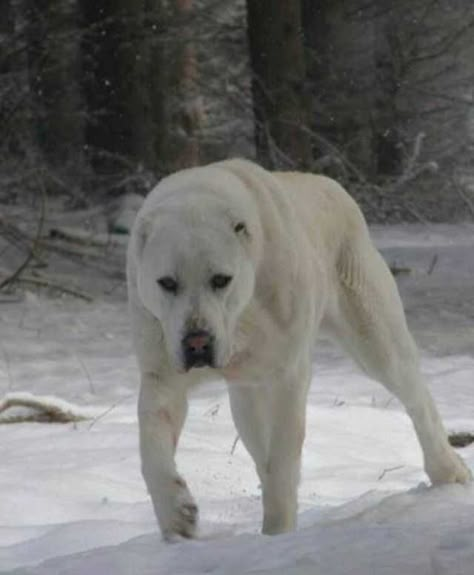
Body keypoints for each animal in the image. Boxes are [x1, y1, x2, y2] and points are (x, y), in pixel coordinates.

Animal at [126, 158, 470, 540]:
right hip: (246, 396)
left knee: (417, 399)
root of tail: (331, 186)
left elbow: (282, 460)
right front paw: (177, 515)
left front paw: (278, 534)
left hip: (377, 338)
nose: (197, 341)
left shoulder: (287, 377)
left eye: (221, 280)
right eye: (167, 283)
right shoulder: (162, 373)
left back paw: (448, 469)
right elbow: (151, 445)